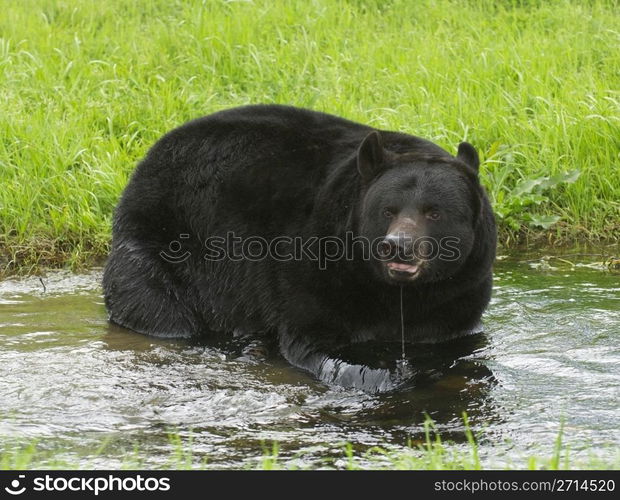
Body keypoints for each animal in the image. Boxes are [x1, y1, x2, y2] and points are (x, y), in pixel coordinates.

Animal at [104, 104, 496, 390]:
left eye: (434, 212)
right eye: (388, 210)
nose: (398, 247)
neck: (390, 289)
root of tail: (144, 163)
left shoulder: (458, 289)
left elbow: (451, 338)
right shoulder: (314, 264)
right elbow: (311, 337)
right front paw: (378, 373)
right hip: (163, 245)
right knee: (158, 306)